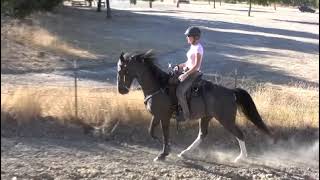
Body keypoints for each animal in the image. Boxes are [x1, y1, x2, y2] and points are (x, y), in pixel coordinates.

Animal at [117, 50, 276, 162]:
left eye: (122, 70)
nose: (121, 90)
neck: (160, 87)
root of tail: (231, 92)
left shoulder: (164, 116)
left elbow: (162, 133)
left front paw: (163, 153)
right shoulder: (158, 115)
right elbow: (152, 131)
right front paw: (166, 150)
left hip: (226, 120)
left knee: (239, 134)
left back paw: (241, 158)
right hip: (206, 117)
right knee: (202, 134)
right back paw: (185, 152)